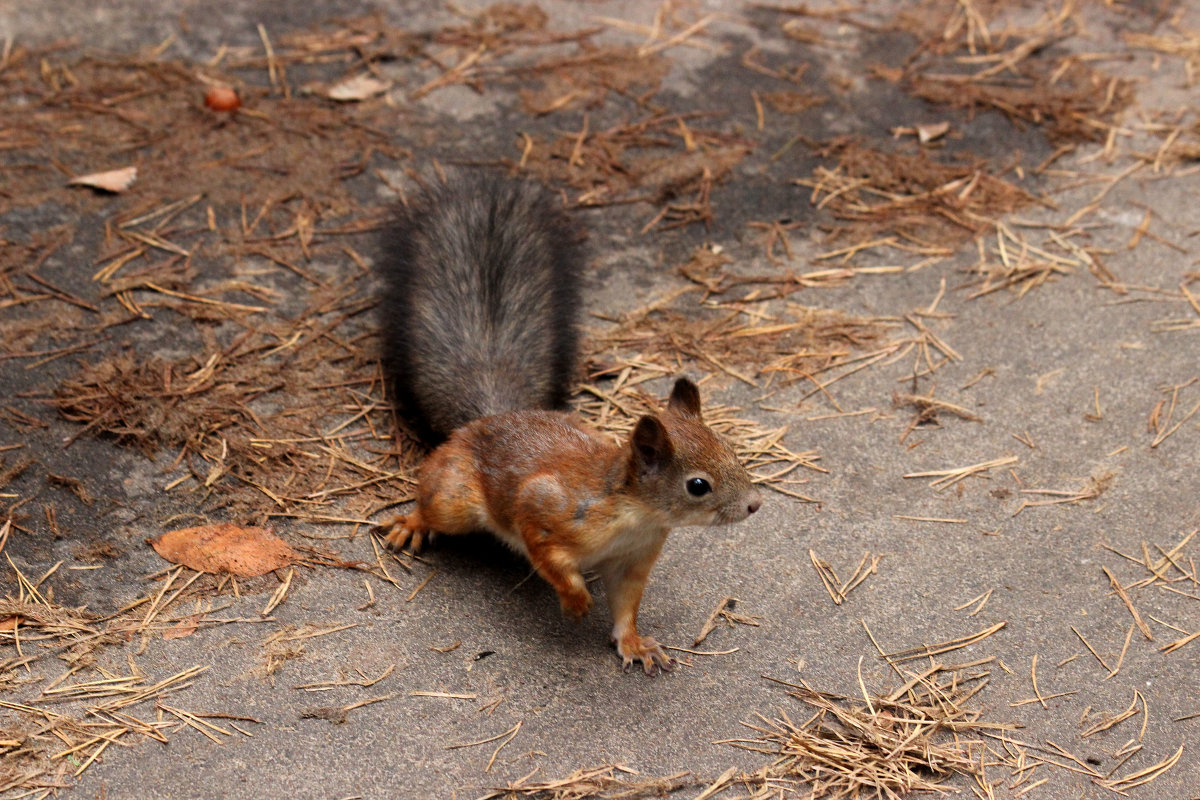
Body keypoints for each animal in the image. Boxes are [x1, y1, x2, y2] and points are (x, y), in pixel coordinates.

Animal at [374, 175, 763, 676]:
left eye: (732, 451)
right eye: (698, 485)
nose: (754, 504)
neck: (635, 515)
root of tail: (490, 417)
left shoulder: (633, 560)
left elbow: (626, 605)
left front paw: (633, 642)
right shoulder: (544, 509)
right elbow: (550, 557)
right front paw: (576, 601)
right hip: (454, 498)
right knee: (434, 505)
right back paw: (413, 523)